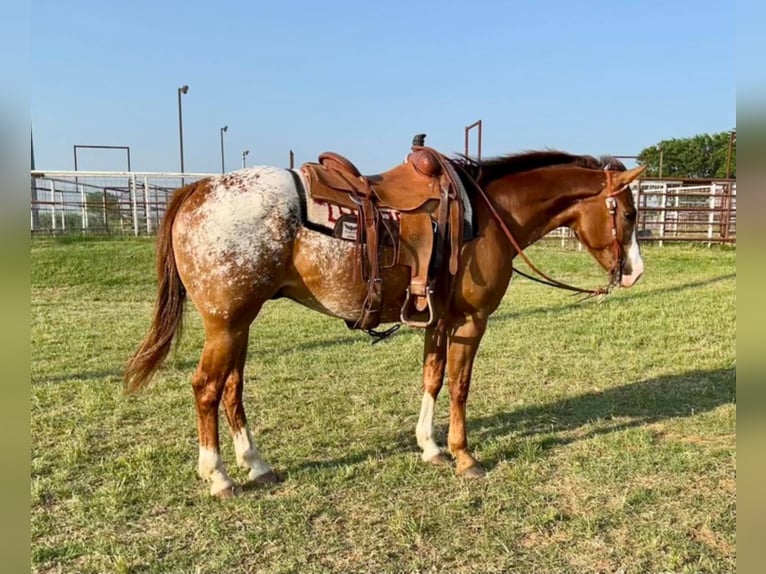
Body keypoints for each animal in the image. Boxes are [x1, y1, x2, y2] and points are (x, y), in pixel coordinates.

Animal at [124, 150, 648, 500]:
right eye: (627, 212)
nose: (635, 272)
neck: (486, 213)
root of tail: (200, 188)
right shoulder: (471, 321)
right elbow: (459, 386)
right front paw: (463, 456)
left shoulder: (441, 318)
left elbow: (432, 378)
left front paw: (430, 447)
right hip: (227, 323)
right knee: (207, 388)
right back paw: (218, 476)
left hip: (241, 324)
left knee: (232, 387)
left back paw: (257, 465)